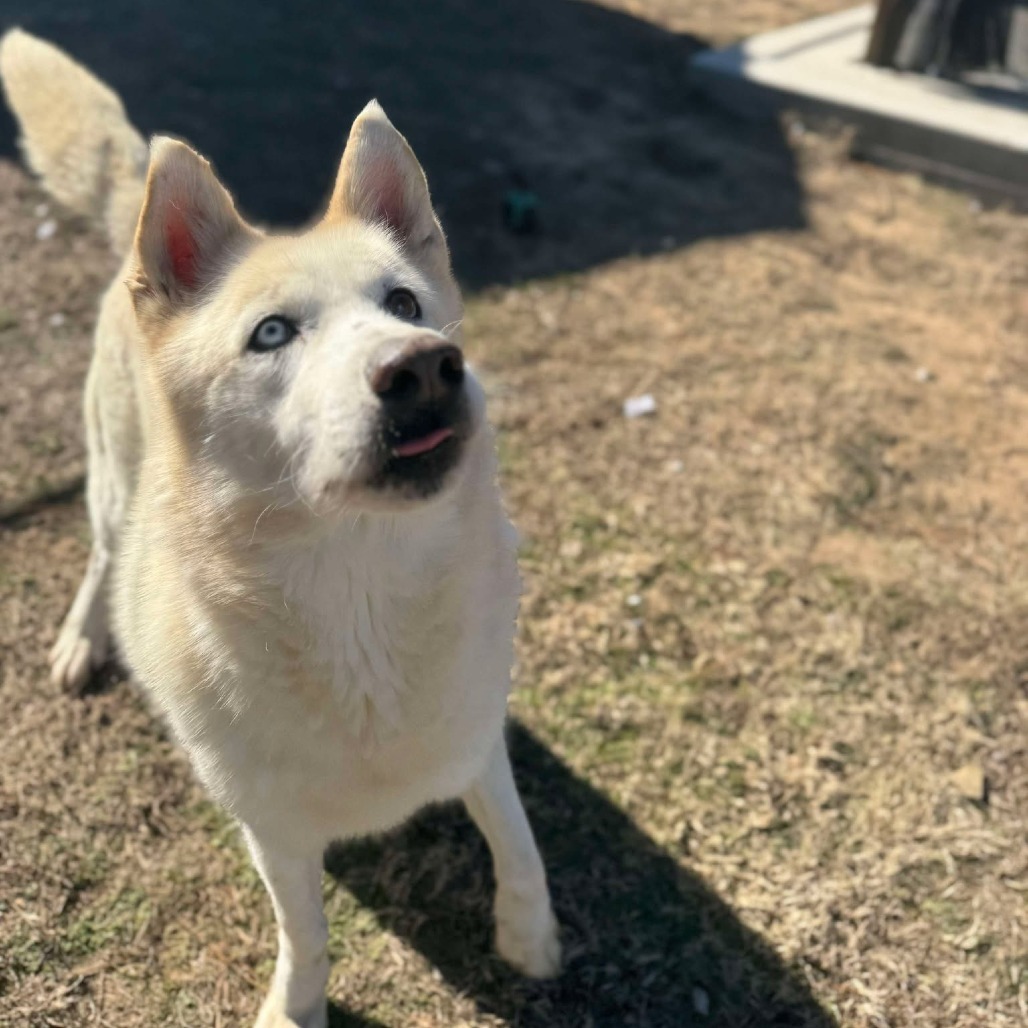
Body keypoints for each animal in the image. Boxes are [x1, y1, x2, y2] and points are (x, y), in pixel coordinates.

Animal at [2, 28, 563, 1023]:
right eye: (271, 334)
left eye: (405, 305)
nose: (425, 369)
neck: (357, 594)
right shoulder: (275, 834)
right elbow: (305, 933)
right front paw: (296, 1006)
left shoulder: (477, 743)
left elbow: (519, 842)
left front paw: (529, 937)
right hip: (111, 478)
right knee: (103, 555)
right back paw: (83, 636)